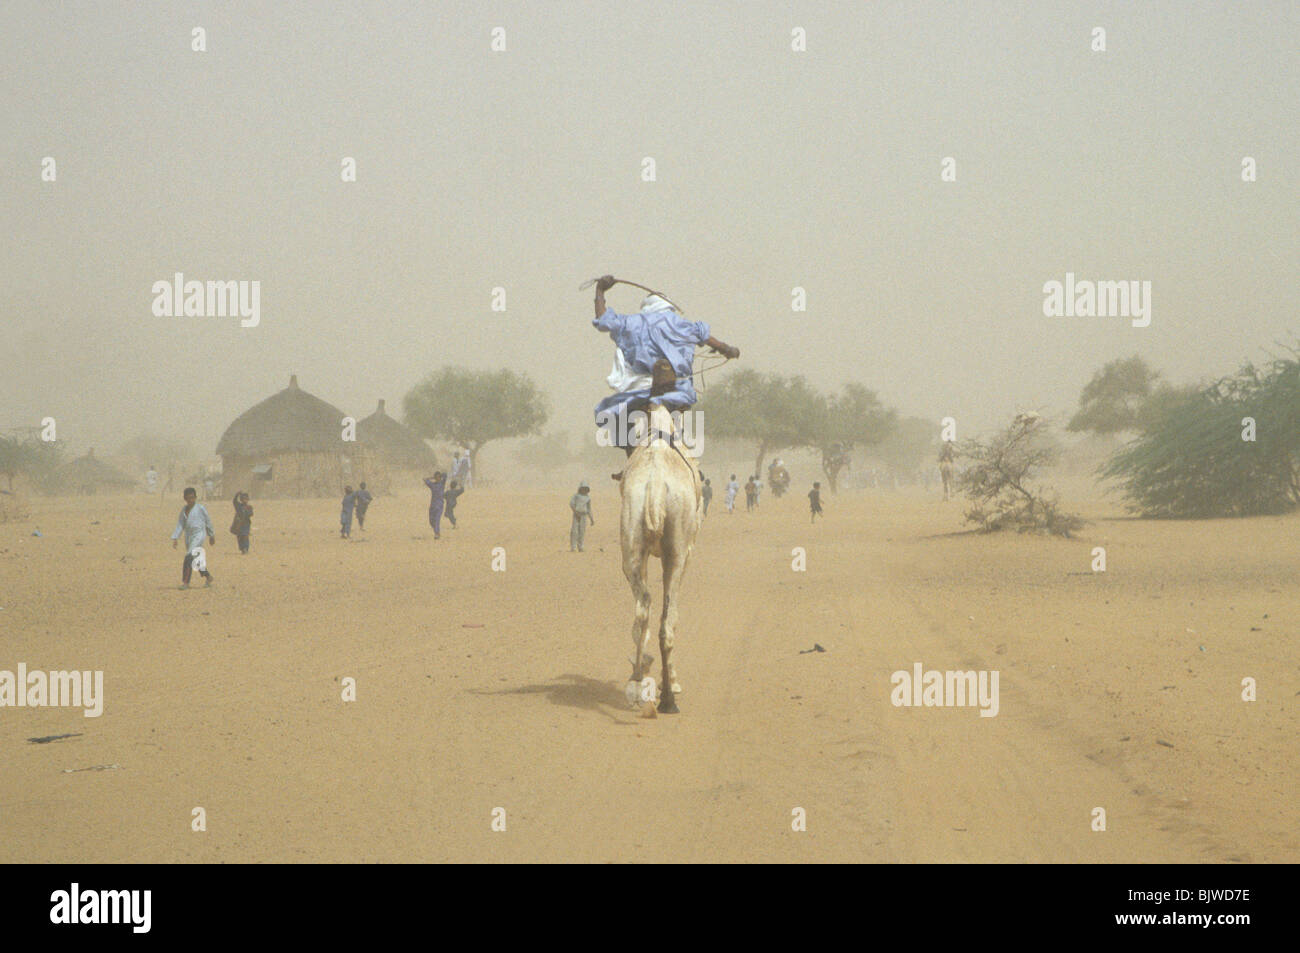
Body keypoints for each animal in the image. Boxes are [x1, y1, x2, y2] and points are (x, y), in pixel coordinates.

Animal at [618, 397, 702, 712]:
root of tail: (654, 486)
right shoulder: (685, 553)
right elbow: (672, 616)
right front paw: (674, 682)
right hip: (676, 552)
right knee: (667, 621)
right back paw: (668, 697)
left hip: (630, 544)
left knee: (642, 608)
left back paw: (637, 682)